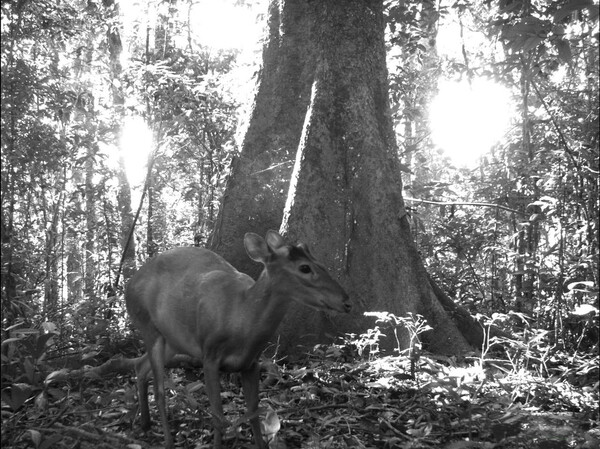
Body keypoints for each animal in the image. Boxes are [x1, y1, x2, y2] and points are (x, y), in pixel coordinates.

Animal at [126, 231, 352, 448]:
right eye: (305, 267)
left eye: (321, 263)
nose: (347, 301)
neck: (241, 318)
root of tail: (130, 282)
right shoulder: (209, 355)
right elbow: (218, 417)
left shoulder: (252, 363)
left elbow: (253, 413)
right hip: (148, 325)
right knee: (159, 389)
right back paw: (167, 440)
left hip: (172, 340)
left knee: (140, 366)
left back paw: (145, 423)